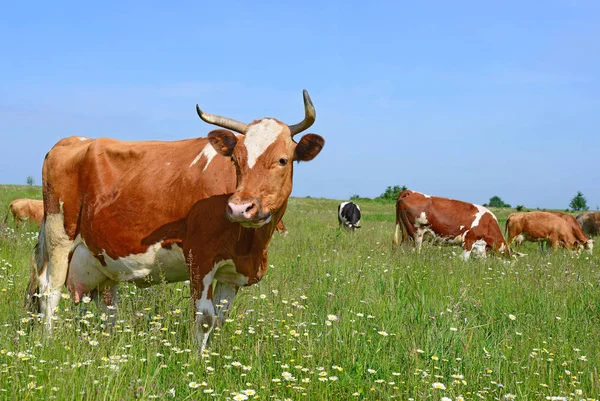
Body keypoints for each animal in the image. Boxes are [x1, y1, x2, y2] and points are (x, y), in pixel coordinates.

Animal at [27, 90, 326, 350]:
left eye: (283, 160)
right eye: (236, 160)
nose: (240, 208)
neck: (250, 245)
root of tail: (72, 141)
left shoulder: (232, 273)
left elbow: (221, 319)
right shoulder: (200, 257)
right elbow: (205, 318)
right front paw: (197, 363)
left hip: (101, 257)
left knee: (106, 304)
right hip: (59, 236)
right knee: (50, 291)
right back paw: (48, 342)